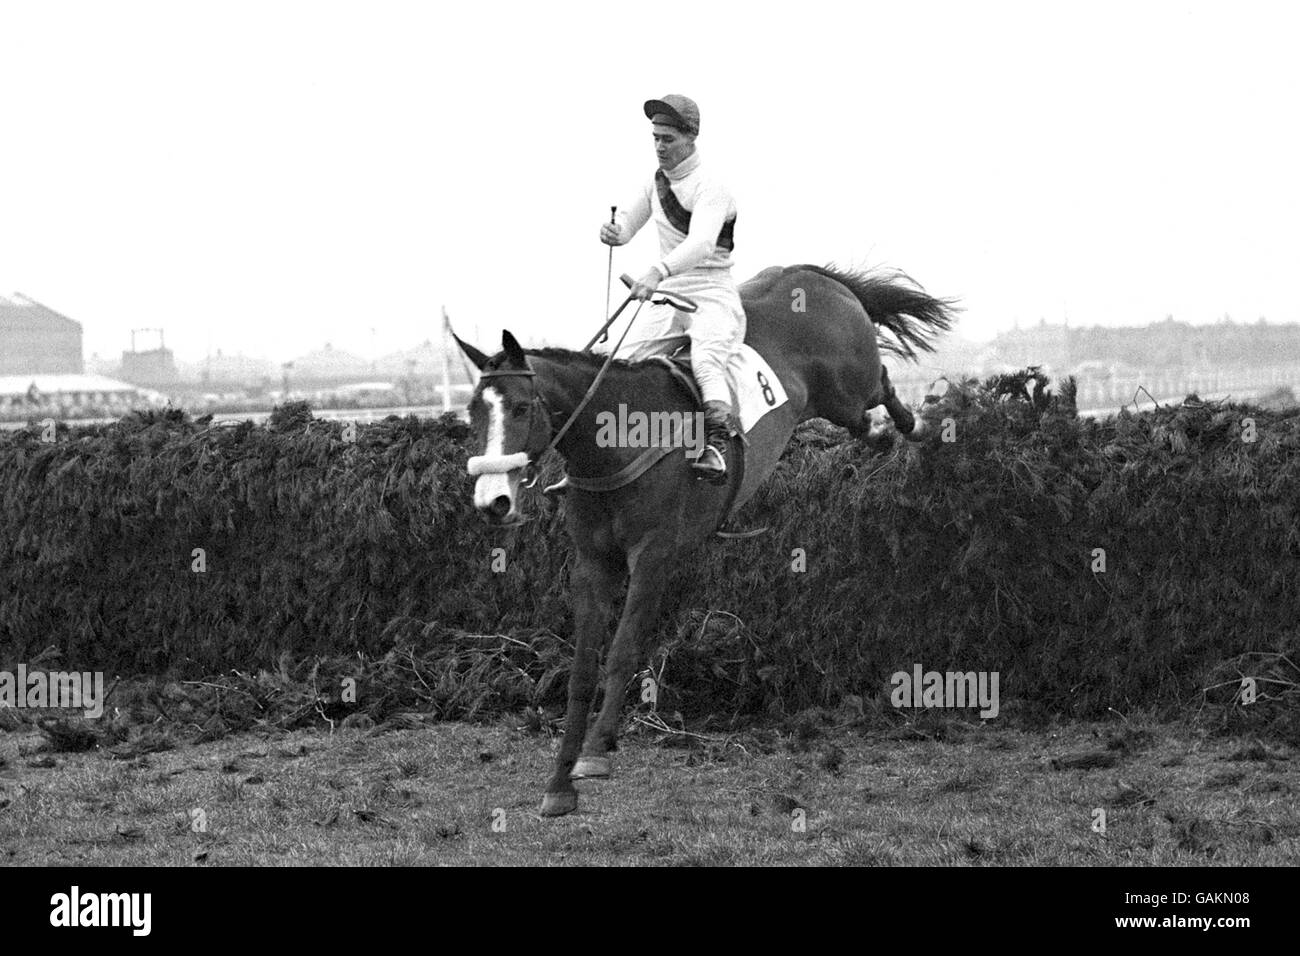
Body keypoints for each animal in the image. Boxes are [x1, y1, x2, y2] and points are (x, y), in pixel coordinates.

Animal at [454, 261, 956, 816]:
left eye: (522, 408)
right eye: (473, 414)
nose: (493, 501)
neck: (615, 441)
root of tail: (810, 274)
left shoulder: (653, 557)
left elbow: (622, 652)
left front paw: (596, 751)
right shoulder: (593, 562)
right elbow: (582, 671)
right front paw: (560, 784)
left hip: (848, 387)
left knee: (881, 386)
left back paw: (918, 423)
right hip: (838, 402)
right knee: (866, 419)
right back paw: (885, 434)